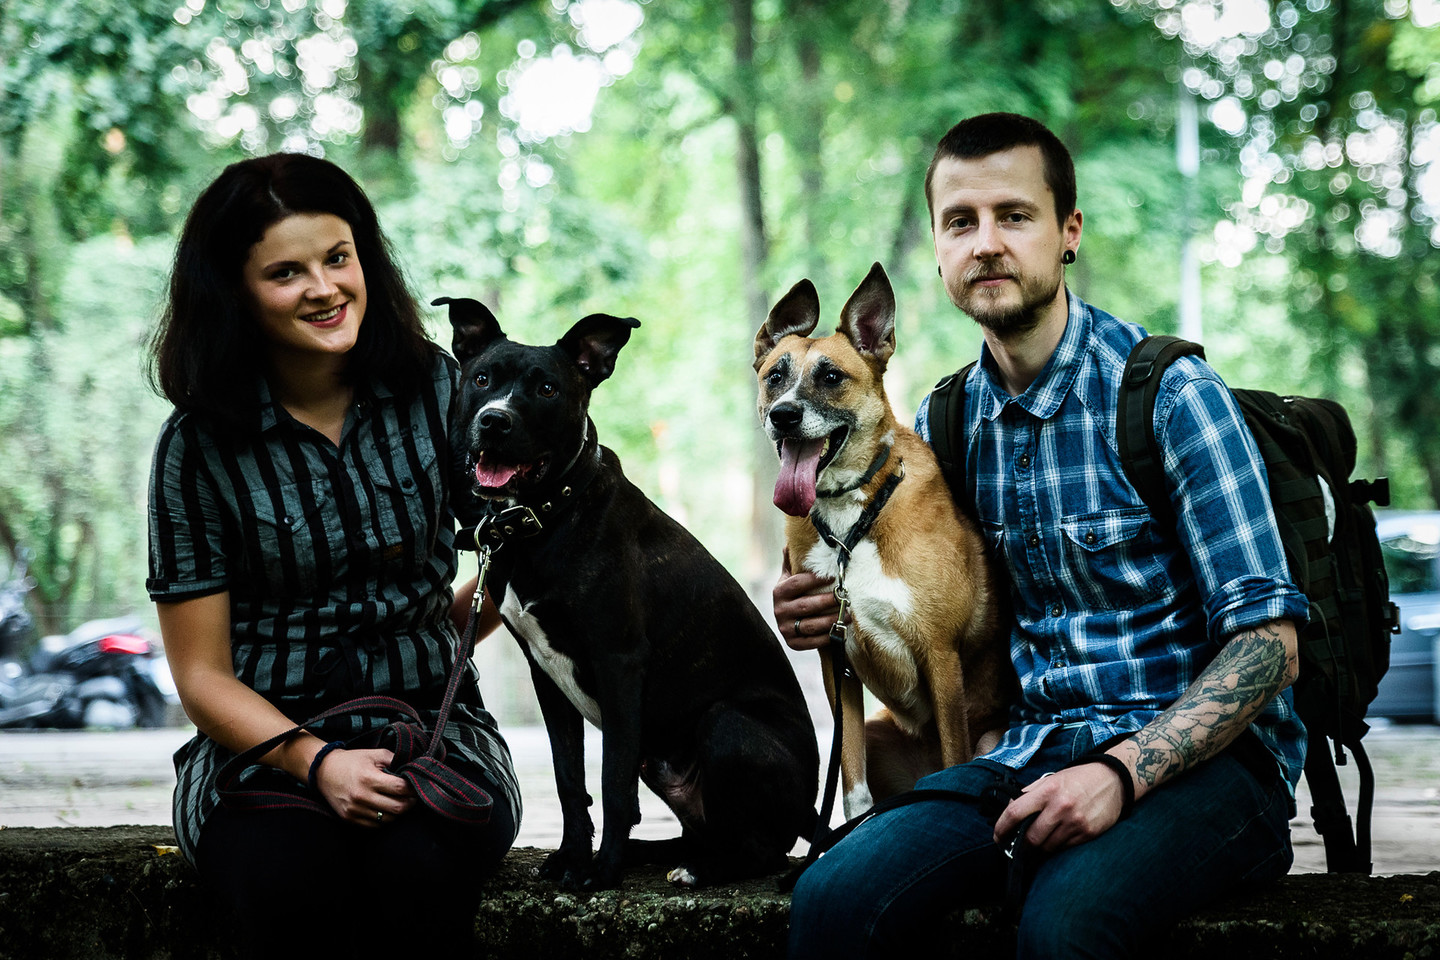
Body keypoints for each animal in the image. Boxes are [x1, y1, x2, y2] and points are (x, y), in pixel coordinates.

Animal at [435, 296, 820, 891]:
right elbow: (571, 780)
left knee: (764, 851)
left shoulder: (618, 663)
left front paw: (602, 872)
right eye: (481, 379)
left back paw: (696, 870)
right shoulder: (546, 674)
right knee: (704, 832)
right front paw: (573, 858)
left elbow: (613, 784)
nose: (494, 420)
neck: (548, 514)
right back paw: (657, 853)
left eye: (547, 388)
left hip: (726, 724)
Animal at [753, 262, 1012, 820]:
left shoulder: (940, 656)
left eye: (831, 376)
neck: (851, 524)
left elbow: (954, 756)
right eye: (775, 376)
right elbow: (852, 786)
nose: (783, 414)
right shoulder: (838, 666)